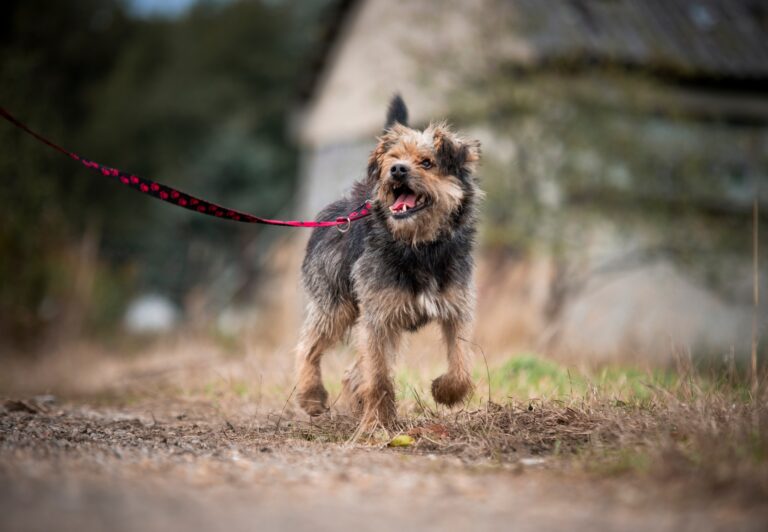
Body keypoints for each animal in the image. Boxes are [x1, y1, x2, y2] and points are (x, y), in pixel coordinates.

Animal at [294, 95, 480, 428]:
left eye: (427, 162)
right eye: (393, 159)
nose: (396, 170)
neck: (418, 247)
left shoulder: (456, 308)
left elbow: (461, 363)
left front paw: (445, 391)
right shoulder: (379, 318)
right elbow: (378, 376)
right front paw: (377, 423)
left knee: (351, 372)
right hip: (336, 305)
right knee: (308, 347)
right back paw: (311, 396)